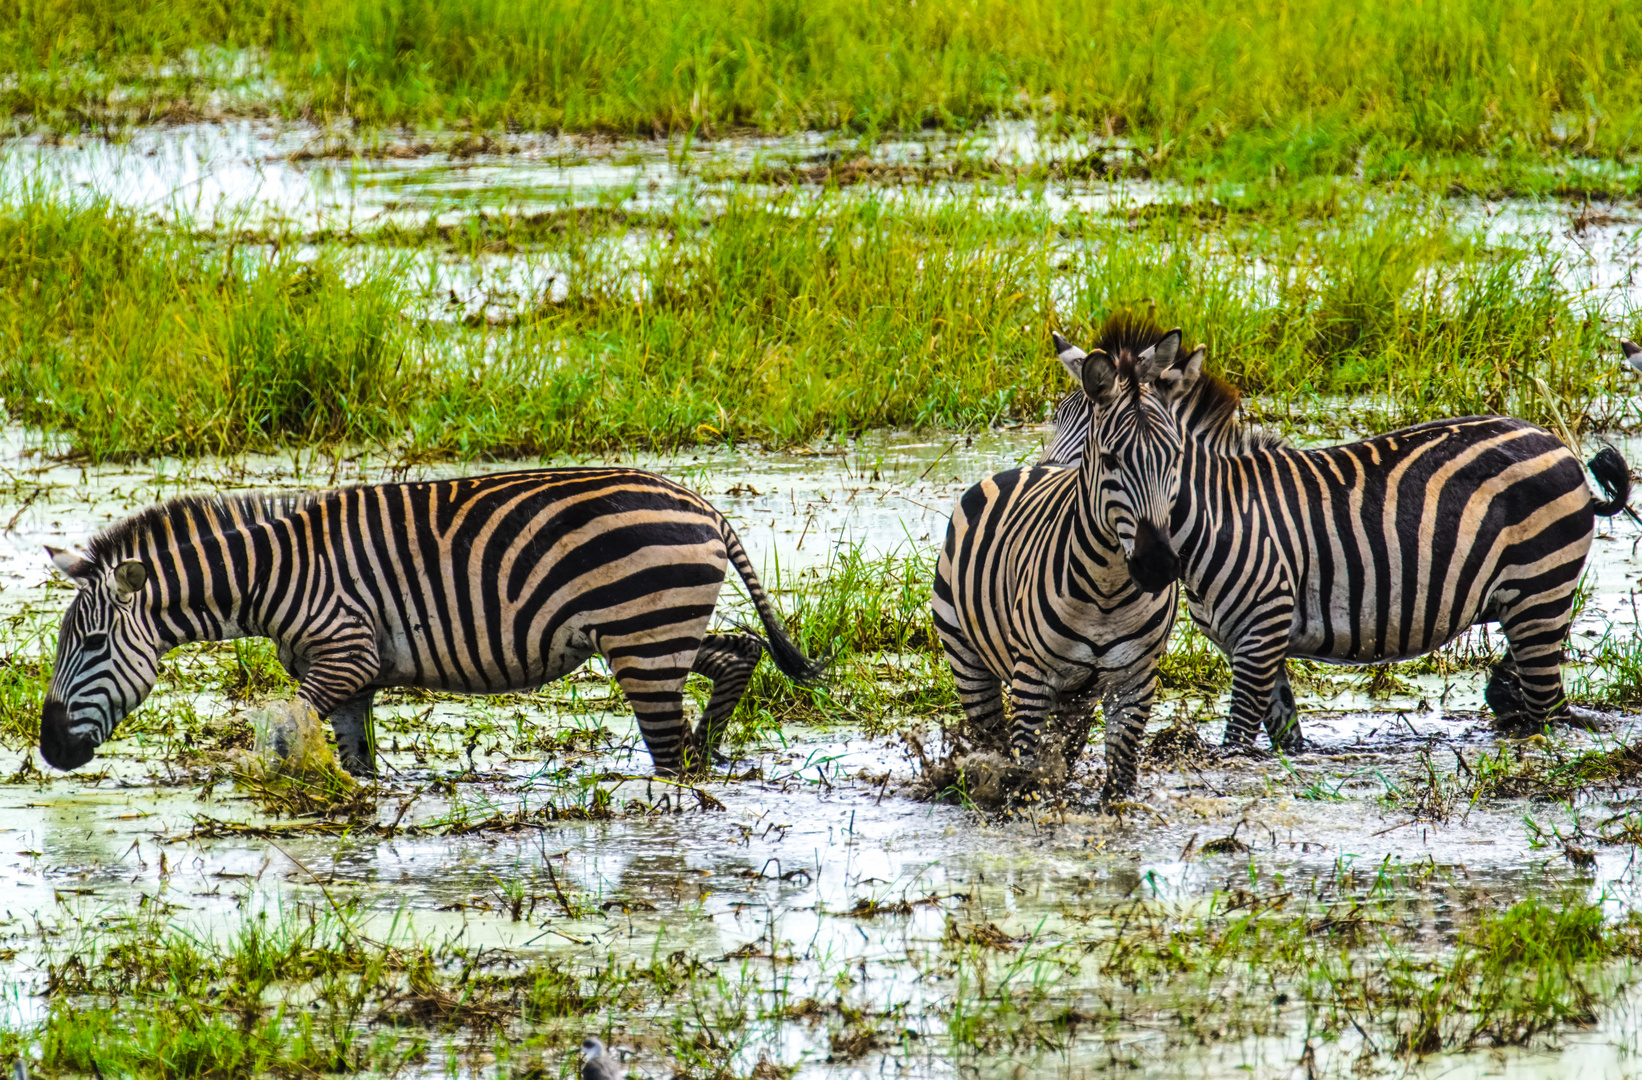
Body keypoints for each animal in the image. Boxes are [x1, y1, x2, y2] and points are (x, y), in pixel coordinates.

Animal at [38, 466, 827, 774]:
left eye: (95, 643)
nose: (50, 751)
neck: (277, 572)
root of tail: (706, 508)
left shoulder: (345, 655)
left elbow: (277, 732)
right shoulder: (352, 679)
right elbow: (356, 763)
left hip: (646, 640)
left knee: (670, 753)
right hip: (658, 634)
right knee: (739, 651)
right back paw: (711, 749)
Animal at [939, 315, 1208, 794]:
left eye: (1176, 456)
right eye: (1111, 459)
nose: (1157, 566)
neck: (1107, 591)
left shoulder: (1135, 682)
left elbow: (1119, 779)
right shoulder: (1032, 679)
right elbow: (1028, 777)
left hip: (1077, 695)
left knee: (1062, 749)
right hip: (967, 659)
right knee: (991, 740)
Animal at [1070, 338, 1635, 748]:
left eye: (1170, 459)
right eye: (1106, 459)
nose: (1156, 566)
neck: (1219, 516)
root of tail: (1558, 444)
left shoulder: (1259, 635)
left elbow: (1235, 743)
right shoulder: (1255, 644)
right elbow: (1285, 738)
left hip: (1540, 592)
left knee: (1548, 711)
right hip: (1530, 604)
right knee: (1530, 696)